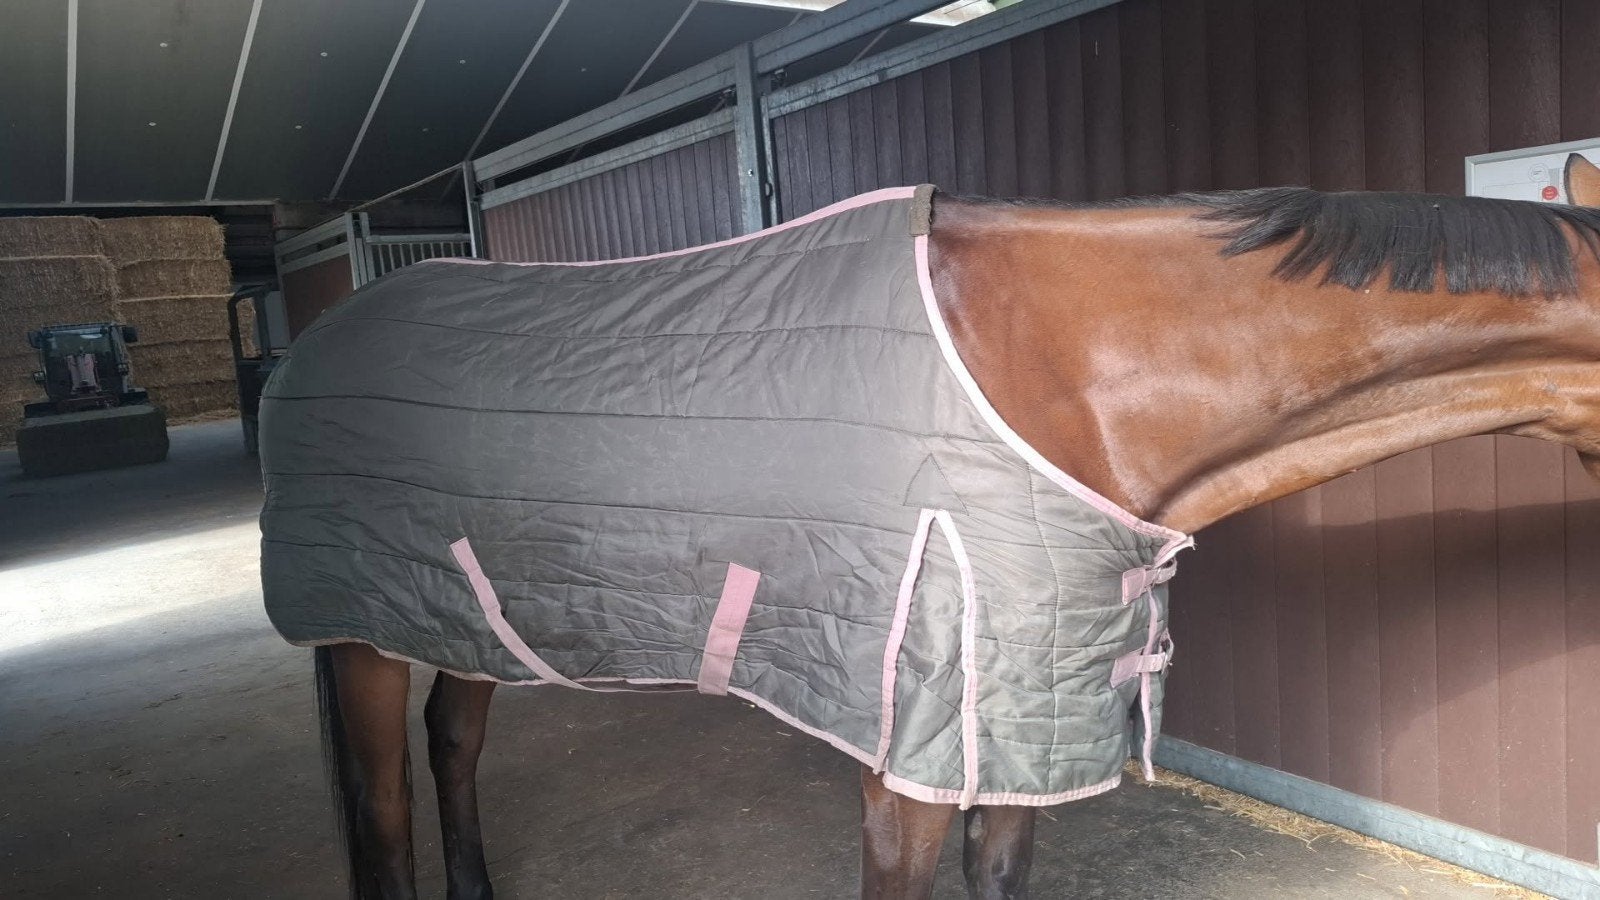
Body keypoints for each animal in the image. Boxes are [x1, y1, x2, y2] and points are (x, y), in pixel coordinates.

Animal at [270, 153, 1600, 899]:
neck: (1067, 374)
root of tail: (319, 338)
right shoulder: (904, 759)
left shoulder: (1014, 727)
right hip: (359, 637)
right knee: (384, 813)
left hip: (467, 614)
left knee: (454, 744)